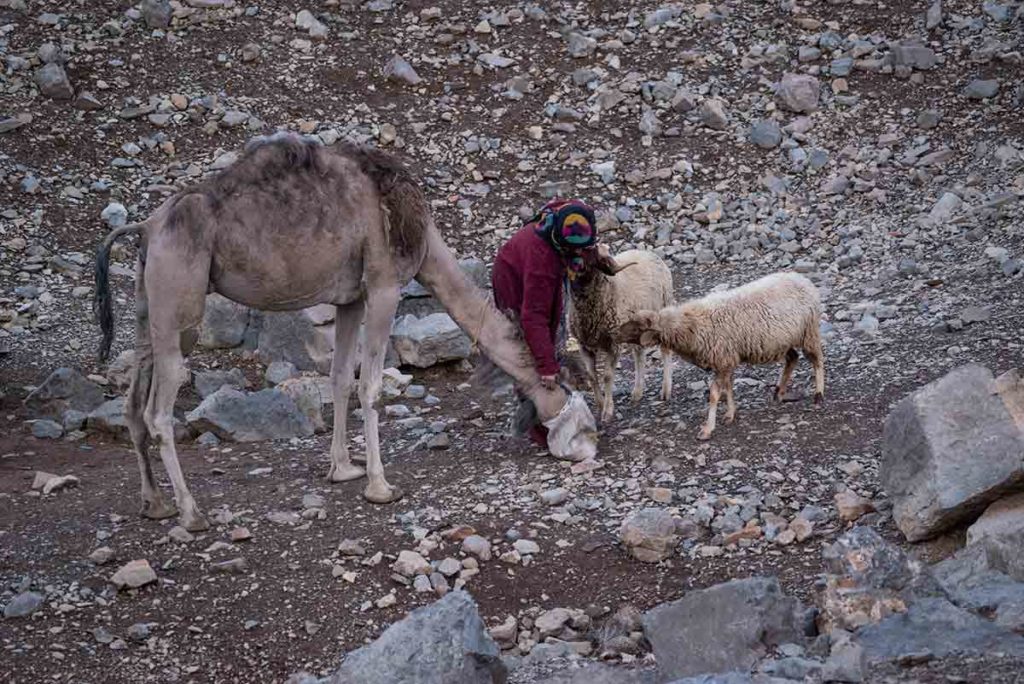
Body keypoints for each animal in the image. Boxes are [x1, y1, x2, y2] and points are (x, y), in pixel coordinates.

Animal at [94, 131, 598, 532]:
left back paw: (155, 503)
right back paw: (191, 513)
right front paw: (380, 485)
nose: (591, 439)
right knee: (159, 412)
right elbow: (371, 385)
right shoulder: (384, 286)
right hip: (180, 304)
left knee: (134, 402)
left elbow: (339, 378)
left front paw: (343, 469)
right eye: (566, 386)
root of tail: (146, 227)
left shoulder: (349, 298)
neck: (423, 238)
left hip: (148, 309)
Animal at [573, 245, 675, 421]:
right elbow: (591, 376)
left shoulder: (613, 345)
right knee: (639, 355)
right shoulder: (584, 345)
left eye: (592, 257)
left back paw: (666, 390)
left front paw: (607, 410)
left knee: (665, 350)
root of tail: (645, 251)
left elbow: (607, 376)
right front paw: (600, 404)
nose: (577, 268)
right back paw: (637, 392)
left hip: (663, 306)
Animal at [614, 270, 823, 440]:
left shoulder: (723, 359)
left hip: (809, 331)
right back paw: (779, 392)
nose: (615, 332)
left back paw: (818, 395)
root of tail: (803, 279)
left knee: (817, 360)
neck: (691, 325)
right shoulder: (725, 361)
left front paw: (707, 429)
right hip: (782, 340)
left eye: (637, 327)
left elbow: (715, 394)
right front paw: (730, 414)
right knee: (793, 358)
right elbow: (728, 388)